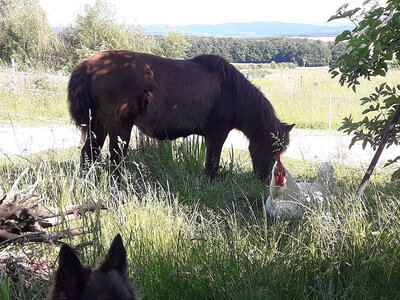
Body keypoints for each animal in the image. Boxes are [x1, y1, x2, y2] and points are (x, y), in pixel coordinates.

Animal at [68, 50, 294, 182]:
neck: (231, 90)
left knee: (89, 153)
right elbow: (212, 163)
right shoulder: (217, 134)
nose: (264, 179)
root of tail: (89, 64)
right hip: (119, 127)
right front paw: (211, 183)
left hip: (98, 125)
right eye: (273, 148)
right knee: (115, 158)